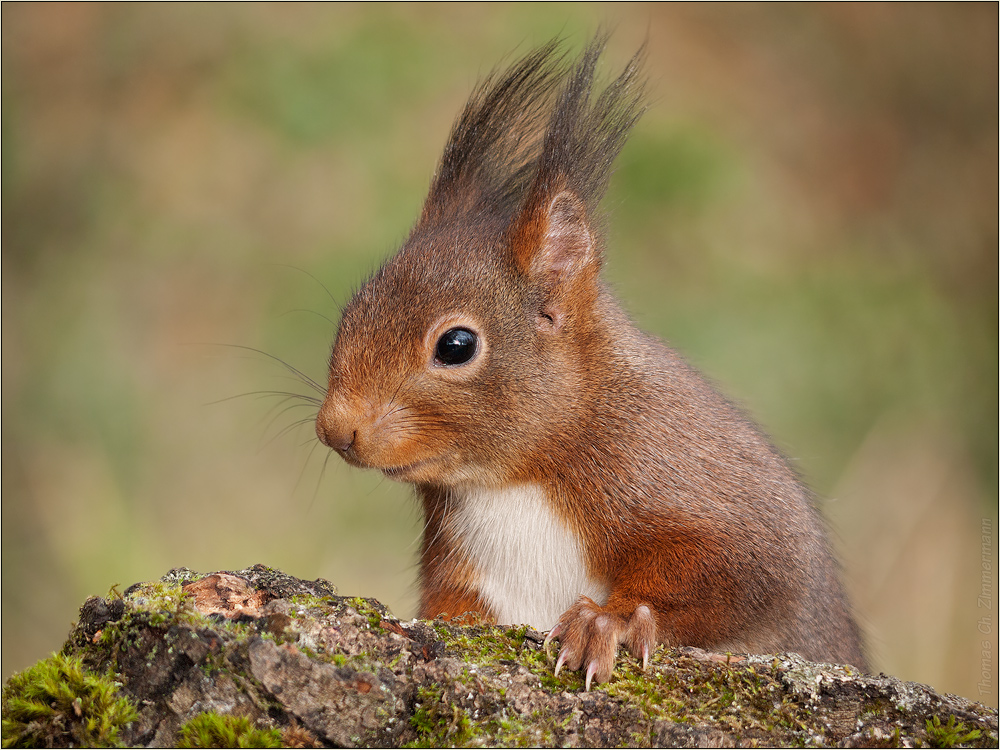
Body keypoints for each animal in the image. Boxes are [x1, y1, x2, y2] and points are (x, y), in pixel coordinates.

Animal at [314, 38, 868, 692]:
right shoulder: (463, 565)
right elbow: (453, 608)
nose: (335, 428)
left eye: (456, 345)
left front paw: (609, 622)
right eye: (352, 308)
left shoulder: (705, 491)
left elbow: (730, 578)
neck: (513, 479)